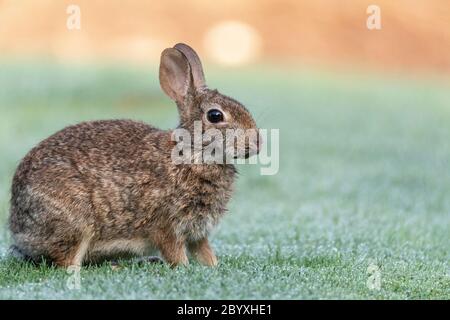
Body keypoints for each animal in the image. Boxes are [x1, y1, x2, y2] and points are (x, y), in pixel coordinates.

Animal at [7, 42, 260, 268]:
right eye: (215, 116)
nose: (258, 142)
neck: (191, 152)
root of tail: (18, 229)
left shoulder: (198, 231)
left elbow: (204, 251)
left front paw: (214, 265)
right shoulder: (167, 225)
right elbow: (176, 253)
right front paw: (184, 267)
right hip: (74, 222)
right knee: (66, 261)